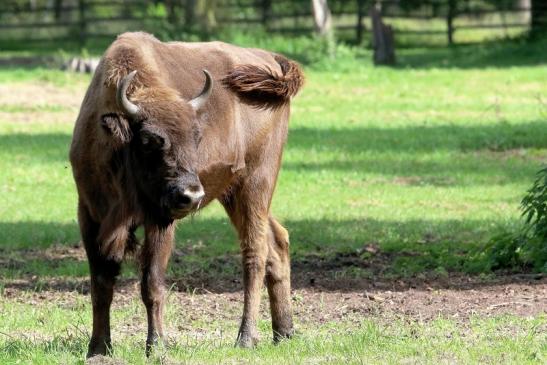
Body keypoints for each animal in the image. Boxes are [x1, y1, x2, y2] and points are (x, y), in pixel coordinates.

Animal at [68, 31, 304, 356]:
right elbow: (101, 284)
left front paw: (156, 347)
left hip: (256, 184)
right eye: (149, 141)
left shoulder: (159, 220)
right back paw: (284, 333)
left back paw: (246, 338)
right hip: (232, 194)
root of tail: (269, 59)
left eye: (196, 137)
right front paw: (99, 348)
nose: (191, 195)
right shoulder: (90, 215)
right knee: (277, 241)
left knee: (255, 252)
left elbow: (151, 284)